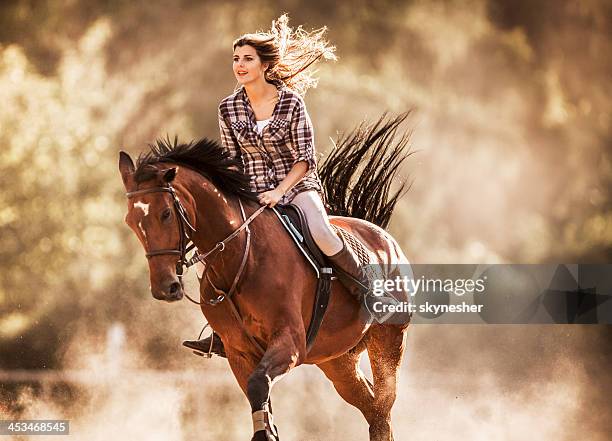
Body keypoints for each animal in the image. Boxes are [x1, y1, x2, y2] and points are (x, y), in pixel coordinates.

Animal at [118, 115, 416, 438]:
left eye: (165, 214)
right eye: (131, 221)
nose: (165, 288)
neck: (240, 258)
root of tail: (384, 238)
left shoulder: (290, 343)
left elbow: (259, 385)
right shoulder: (239, 352)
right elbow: (259, 402)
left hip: (389, 340)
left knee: (383, 405)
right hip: (338, 359)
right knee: (372, 408)